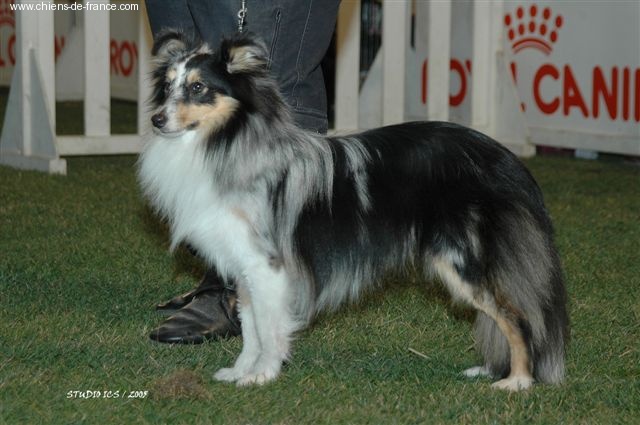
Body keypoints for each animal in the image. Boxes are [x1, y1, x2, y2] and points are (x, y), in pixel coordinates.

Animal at [140, 30, 568, 390]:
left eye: (198, 87)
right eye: (167, 86)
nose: (156, 120)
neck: (225, 142)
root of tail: (504, 158)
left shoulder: (269, 267)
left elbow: (270, 328)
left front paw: (263, 374)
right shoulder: (246, 268)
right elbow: (251, 328)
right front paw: (242, 370)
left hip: (462, 260)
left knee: (518, 317)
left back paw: (517, 381)